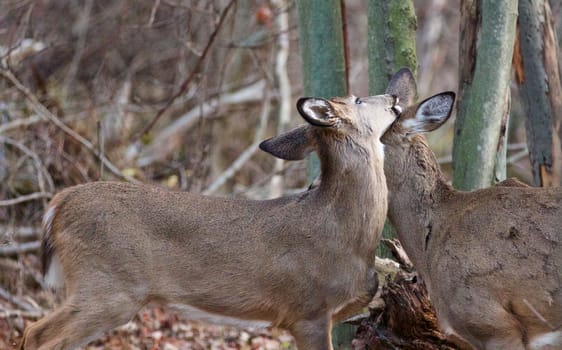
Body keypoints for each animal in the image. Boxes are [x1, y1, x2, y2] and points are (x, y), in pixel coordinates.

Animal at [19, 76, 404, 348]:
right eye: (357, 99)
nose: (395, 98)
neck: (346, 235)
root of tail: (58, 204)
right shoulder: (306, 311)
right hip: (107, 285)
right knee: (37, 334)